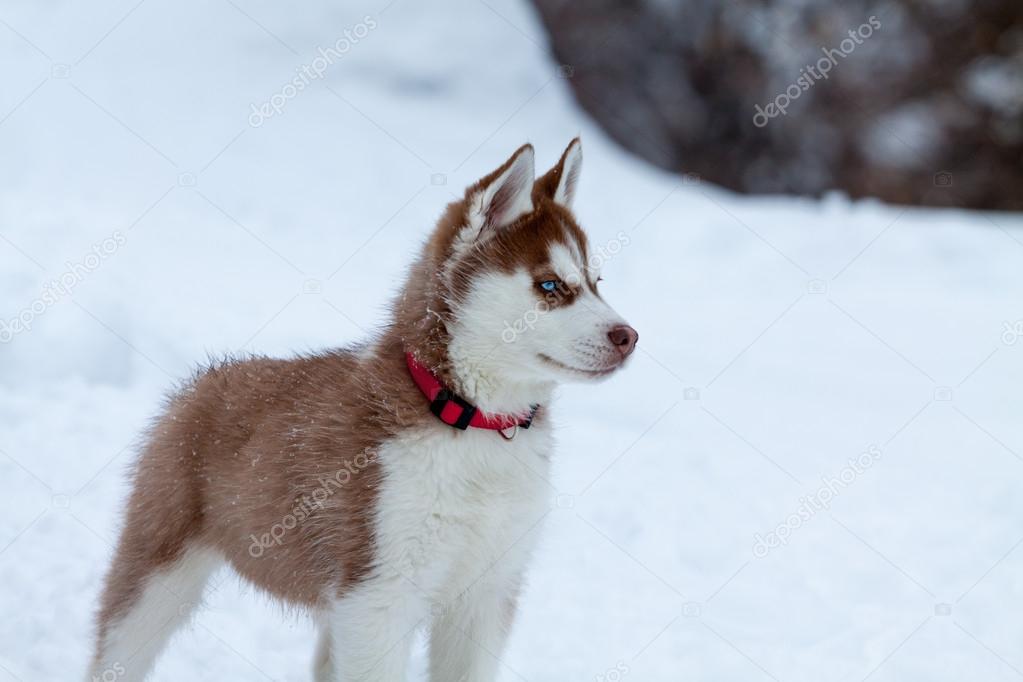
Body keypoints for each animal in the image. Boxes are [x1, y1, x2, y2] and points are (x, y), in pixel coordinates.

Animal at [87, 140, 634, 682]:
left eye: (597, 281)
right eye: (550, 286)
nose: (629, 337)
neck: (470, 420)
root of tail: (206, 378)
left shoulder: (484, 594)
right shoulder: (379, 596)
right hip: (158, 575)